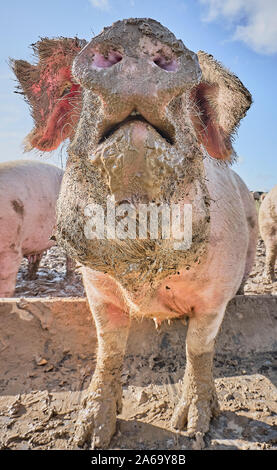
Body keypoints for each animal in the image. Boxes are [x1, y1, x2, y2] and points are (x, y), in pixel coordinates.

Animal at [12, 19, 256, 448]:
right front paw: (88, 435)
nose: (138, 30)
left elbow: (198, 348)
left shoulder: (215, 294)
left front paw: (193, 427)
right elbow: (108, 349)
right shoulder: (97, 290)